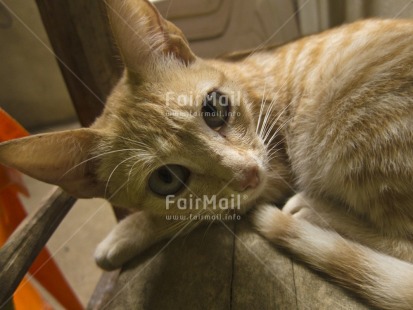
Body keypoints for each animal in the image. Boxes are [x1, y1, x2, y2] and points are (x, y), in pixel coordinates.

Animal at [0, 1, 412, 308]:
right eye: (166, 178)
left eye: (214, 108)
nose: (248, 173)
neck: (246, 80)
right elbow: (194, 210)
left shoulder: (273, 167)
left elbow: (188, 217)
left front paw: (125, 232)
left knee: (403, 243)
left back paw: (308, 209)